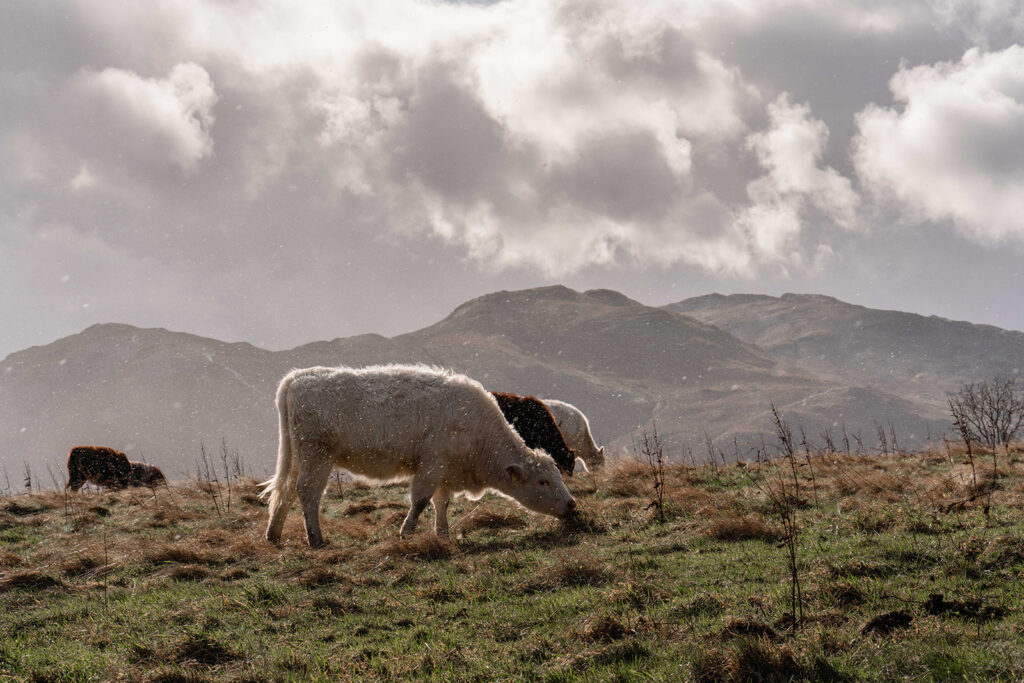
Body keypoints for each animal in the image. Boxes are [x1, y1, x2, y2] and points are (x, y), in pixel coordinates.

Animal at [264, 362, 577, 548]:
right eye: (544, 482)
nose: (572, 504)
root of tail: (298, 377)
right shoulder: (432, 465)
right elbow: (421, 500)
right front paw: (407, 532)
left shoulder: (446, 471)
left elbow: (442, 502)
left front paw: (443, 534)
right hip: (316, 455)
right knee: (308, 493)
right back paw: (315, 539)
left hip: (298, 457)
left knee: (286, 491)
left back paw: (274, 534)